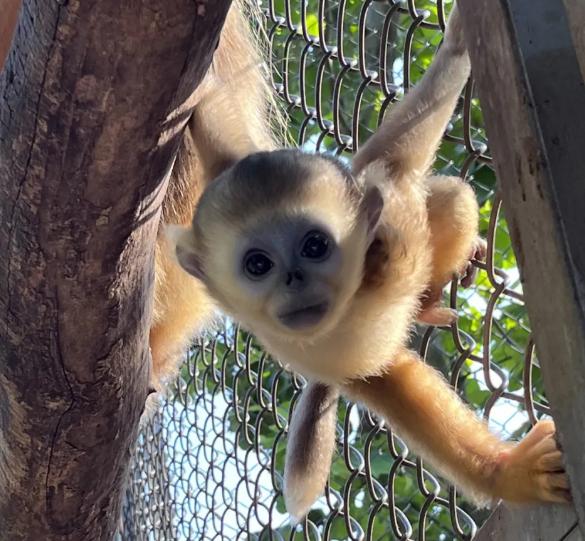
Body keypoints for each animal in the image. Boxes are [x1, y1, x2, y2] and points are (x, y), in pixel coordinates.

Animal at [168, 3, 564, 520]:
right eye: (257, 265)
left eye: (315, 246)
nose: (295, 279)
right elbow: (390, 381)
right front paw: (507, 474)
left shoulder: (388, 237)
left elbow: (393, 159)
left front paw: (459, 42)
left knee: (448, 198)